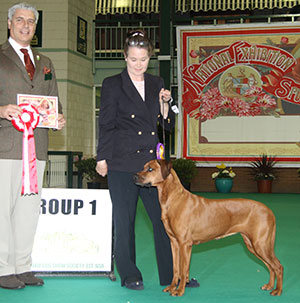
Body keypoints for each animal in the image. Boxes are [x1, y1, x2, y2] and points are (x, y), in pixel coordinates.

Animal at [136, 160, 284, 298]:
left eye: (150, 169)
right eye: (143, 167)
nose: (134, 176)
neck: (174, 198)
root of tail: (269, 211)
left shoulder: (185, 244)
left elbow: (183, 270)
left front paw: (179, 291)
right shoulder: (174, 243)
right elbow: (176, 268)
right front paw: (172, 287)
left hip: (260, 244)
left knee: (277, 266)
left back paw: (277, 290)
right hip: (253, 244)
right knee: (270, 266)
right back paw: (269, 286)